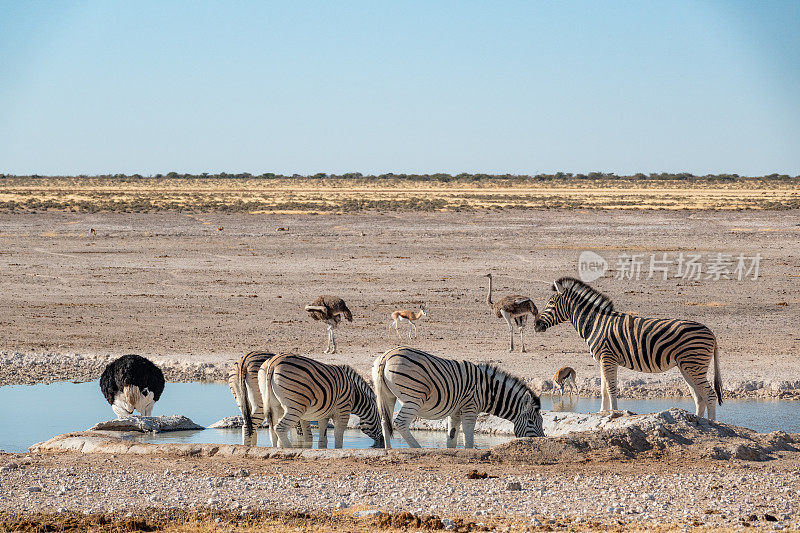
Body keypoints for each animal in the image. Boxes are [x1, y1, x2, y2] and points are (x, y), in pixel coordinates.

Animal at [372, 344, 548, 448]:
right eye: (531, 422)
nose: (541, 442)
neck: (487, 390)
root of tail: (386, 356)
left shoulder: (455, 412)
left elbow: (451, 438)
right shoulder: (470, 409)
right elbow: (468, 440)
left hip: (387, 396)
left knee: (385, 421)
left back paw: (388, 450)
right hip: (414, 399)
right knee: (400, 423)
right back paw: (418, 449)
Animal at [532, 276, 724, 418]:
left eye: (550, 303)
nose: (536, 325)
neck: (595, 323)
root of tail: (712, 333)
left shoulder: (608, 359)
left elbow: (611, 389)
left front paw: (614, 413)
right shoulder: (603, 361)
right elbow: (603, 389)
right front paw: (602, 412)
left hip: (694, 364)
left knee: (710, 395)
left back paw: (711, 425)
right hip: (687, 366)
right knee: (699, 397)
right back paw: (699, 422)